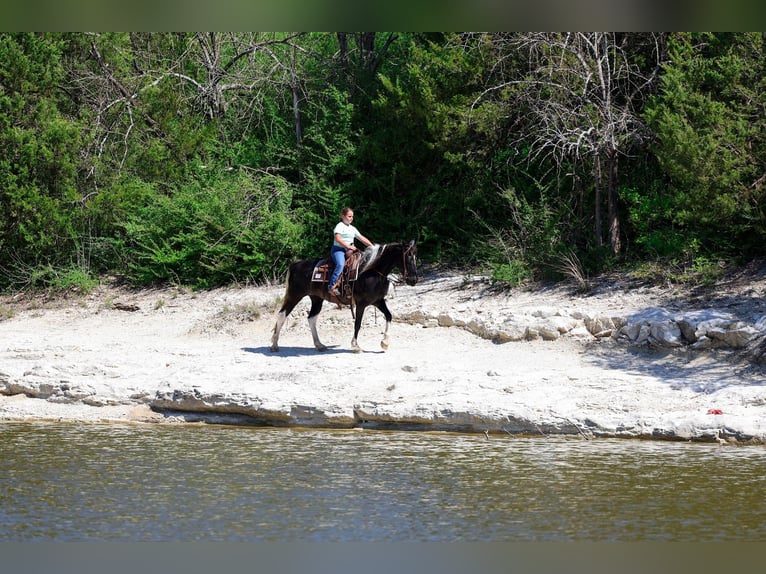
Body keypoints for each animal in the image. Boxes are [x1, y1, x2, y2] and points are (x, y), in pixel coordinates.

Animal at [270, 240, 418, 353]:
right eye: (408, 257)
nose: (414, 280)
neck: (371, 272)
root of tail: (297, 264)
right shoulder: (361, 304)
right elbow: (357, 324)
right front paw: (355, 346)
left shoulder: (378, 301)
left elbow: (389, 316)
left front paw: (385, 343)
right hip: (295, 295)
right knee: (282, 315)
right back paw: (274, 345)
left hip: (316, 299)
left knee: (311, 319)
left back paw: (319, 345)